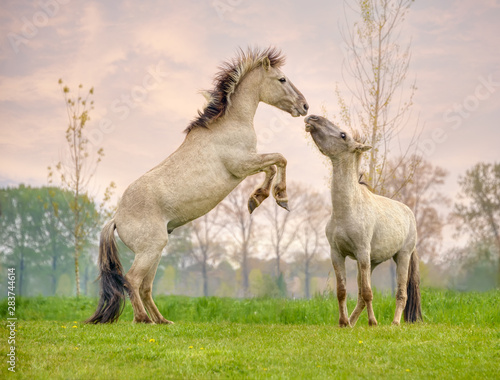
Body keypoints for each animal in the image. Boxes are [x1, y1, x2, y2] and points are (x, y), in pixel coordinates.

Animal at [88, 46, 310, 322]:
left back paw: (162, 321)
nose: (305, 106)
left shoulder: (248, 164)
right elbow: (280, 159)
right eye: (282, 79)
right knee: (132, 280)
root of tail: (116, 219)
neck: (230, 124)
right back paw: (143, 320)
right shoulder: (242, 165)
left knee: (145, 286)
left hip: (156, 251)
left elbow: (272, 166)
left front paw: (256, 199)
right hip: (151, 249)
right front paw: (280, 198)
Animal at [304, 114, 422, 326]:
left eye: (343, 135)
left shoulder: (362, 252)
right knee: (360, 296)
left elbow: (368, 292)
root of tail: (409, 214)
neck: (347, 209)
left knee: (401, 294)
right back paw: (352, 322)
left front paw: (373, 323)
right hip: (371, 262)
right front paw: (343, 323)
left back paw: (394, 323)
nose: (312, 118)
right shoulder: (338, 254)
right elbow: (342, 291)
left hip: (401, 257)